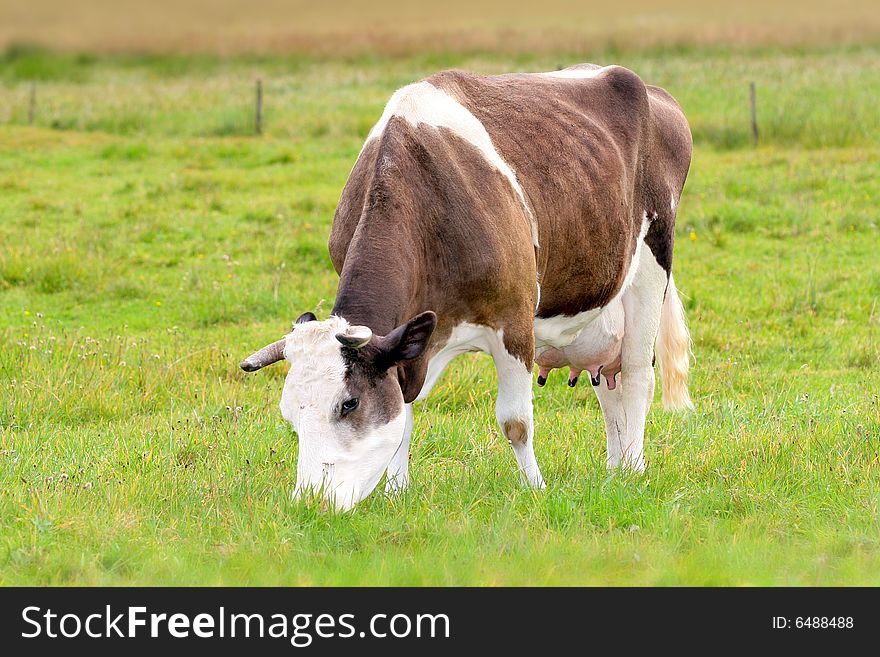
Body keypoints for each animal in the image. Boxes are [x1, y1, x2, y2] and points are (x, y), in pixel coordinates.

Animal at [241, 62, 696, 512]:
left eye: (348, 403)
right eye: (289, 414)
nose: (310, 501)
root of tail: (648, 89)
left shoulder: (515, 317)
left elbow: (515, 422)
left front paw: (536, 488)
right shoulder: (410, 340)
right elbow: (402, 415)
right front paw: (397, 492)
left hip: (653, 258)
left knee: (637, 375)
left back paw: (634, 470)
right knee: (607, 386)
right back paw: (614, 470)